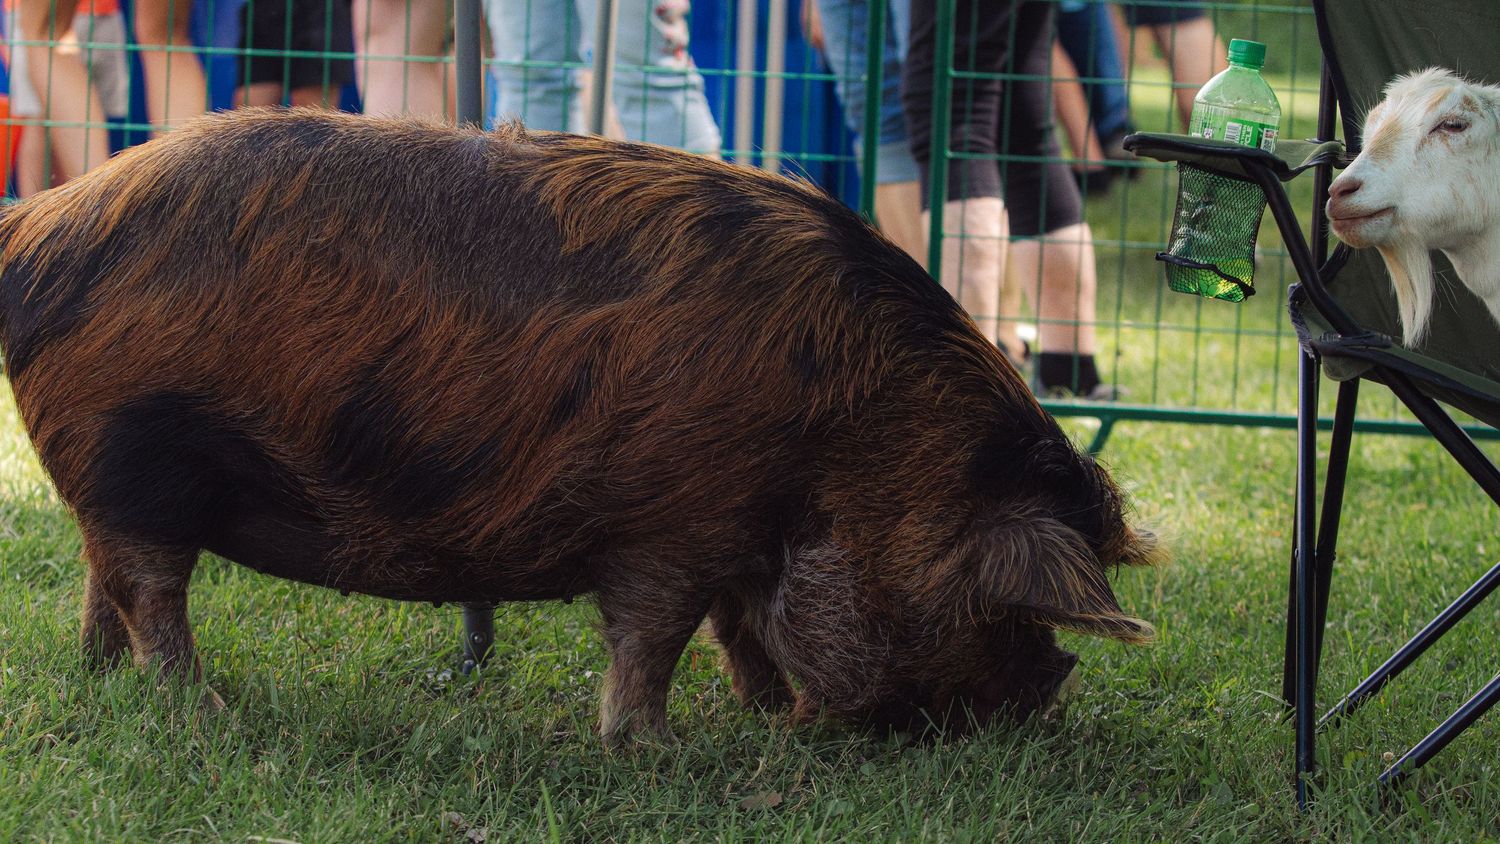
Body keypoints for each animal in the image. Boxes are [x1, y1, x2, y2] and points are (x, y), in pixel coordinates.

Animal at [0, 108, 1161, 740]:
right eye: (1007, 605)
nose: (1051, 692)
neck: (848, 438)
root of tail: (44, 221)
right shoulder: (672, 521)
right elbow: (653, 633)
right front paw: (652, 748)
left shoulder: (735, 529)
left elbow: (739, 625)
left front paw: (759, 712)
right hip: (134, 450)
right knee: (152, 591)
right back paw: (200, 706)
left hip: (110, 475)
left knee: (106, 581)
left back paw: (104, 681)